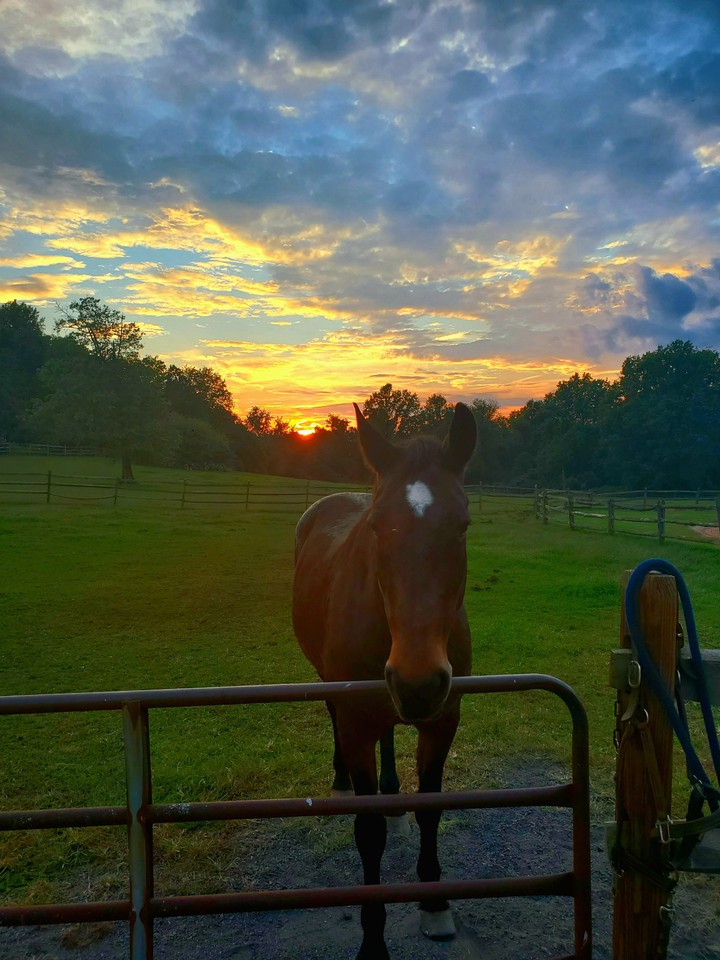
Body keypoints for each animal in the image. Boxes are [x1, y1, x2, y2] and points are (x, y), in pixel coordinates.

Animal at [292, 402, 477, 960]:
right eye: (376, 527)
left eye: (462, 525)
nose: (419, 681)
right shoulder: (356, 724)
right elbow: (368, 831)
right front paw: (372, 943)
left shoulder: (443, 719)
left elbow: (430, 811)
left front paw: (435, 904)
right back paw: (339, 782)